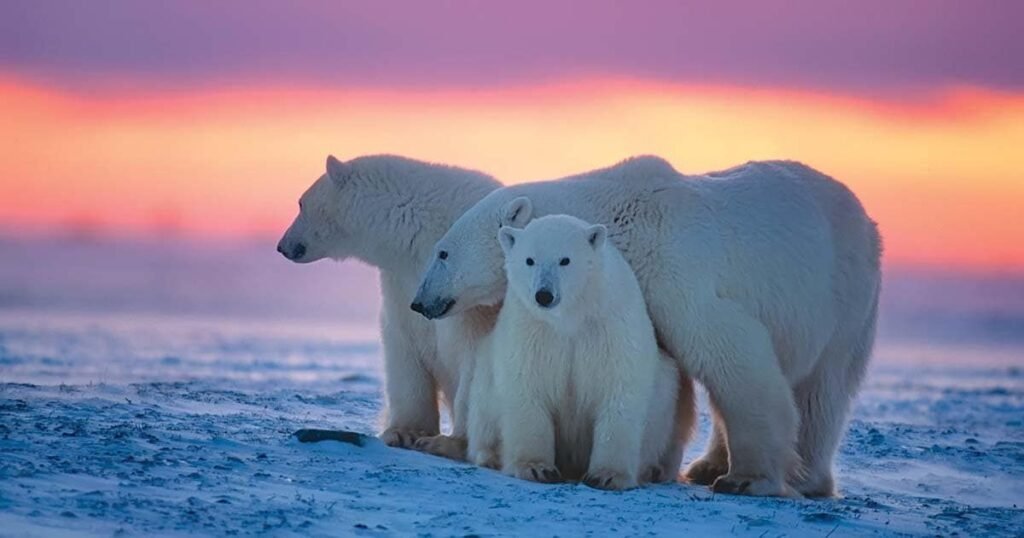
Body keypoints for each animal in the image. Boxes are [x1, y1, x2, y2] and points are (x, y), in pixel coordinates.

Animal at [277, 154, 500, 454]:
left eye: (301, 203)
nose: (282, 246)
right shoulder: (402, 279)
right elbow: (403, 344)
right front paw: (405, 432)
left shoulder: (471, 290)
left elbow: (476, 354)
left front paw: (448, 442)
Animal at [465, 215, 691, 490]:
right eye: (530, 260)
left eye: (565, 260)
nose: (544, 295)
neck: (571, 318)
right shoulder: (532, 329)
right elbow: (527, 386)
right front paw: (537, 468)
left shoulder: (610, 327)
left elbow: (619, 390)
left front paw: (607, 475)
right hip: (485, 375)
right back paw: (490, 455)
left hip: (665, 392)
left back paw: (652, 469)